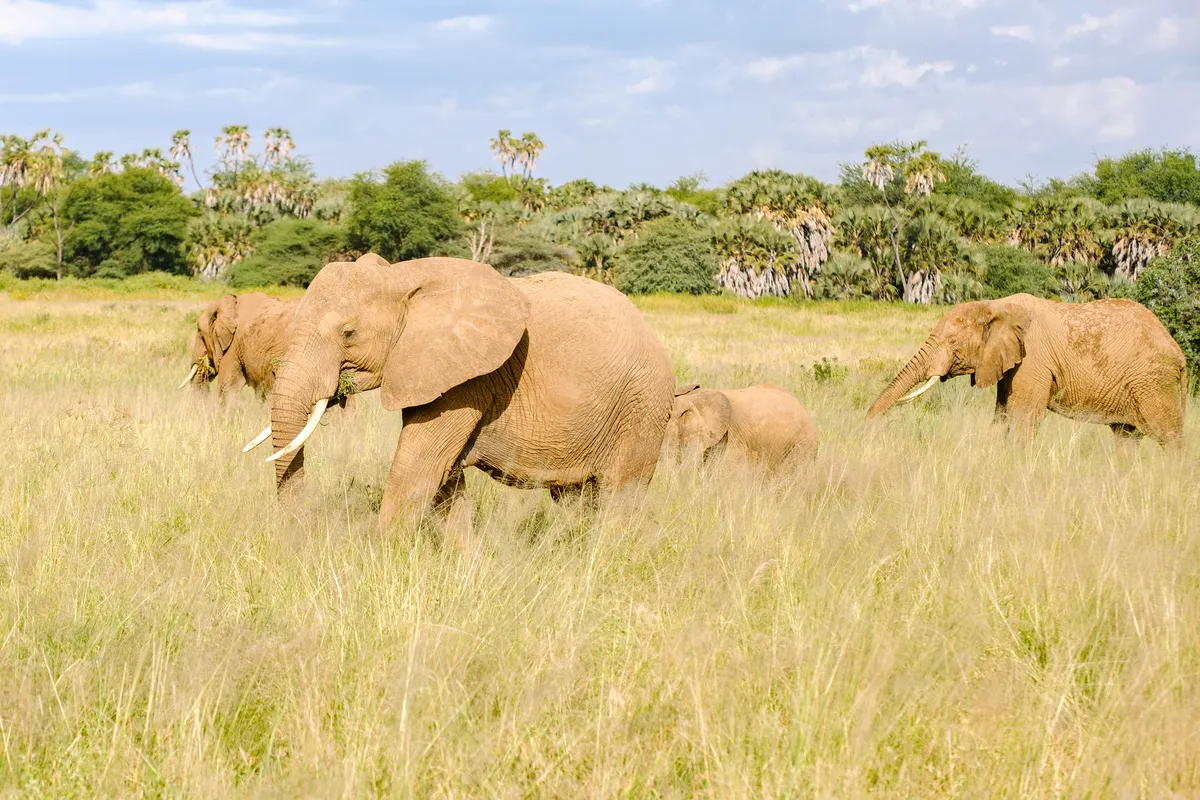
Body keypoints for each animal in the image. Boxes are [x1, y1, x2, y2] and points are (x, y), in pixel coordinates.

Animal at [248, 256, 681, 532]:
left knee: (621, 495)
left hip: (642, 404)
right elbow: (445, 475)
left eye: (348, 333)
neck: (401, 278)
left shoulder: (468, 377)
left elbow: (418, 466)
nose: (301, 532)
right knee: (576, 498)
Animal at [868, 292, 1185, 448]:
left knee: (1169, 437)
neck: (995, 306)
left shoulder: (1033, 361)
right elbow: (1002, 415)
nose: (867, 426)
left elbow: (1022, 419)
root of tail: (1178, 352)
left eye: (952, 342)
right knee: (1126, 437)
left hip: (1153, 382)